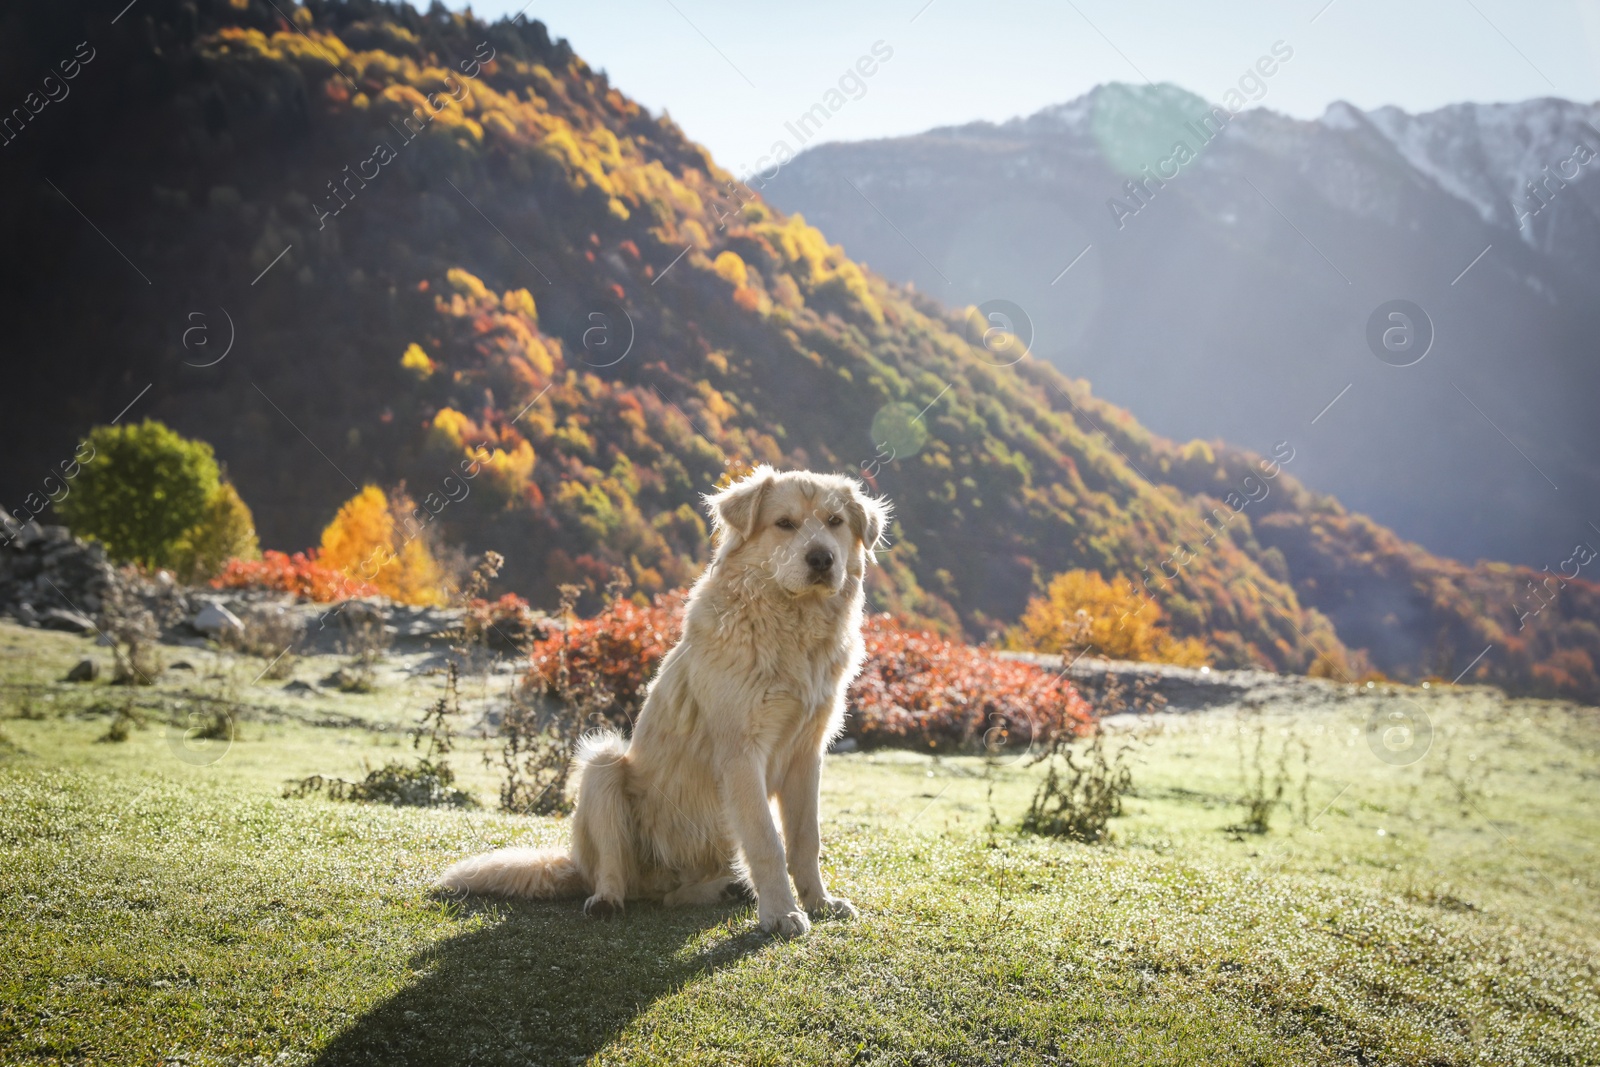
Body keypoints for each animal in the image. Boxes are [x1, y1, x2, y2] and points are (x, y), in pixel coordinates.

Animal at [438, 467, 889, 934]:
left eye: (835, 522)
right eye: (784, 523)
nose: (822, 560)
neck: (792, 628)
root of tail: (575, 867)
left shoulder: (807, 753)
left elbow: (805, 839)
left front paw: (819, 902)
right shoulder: (741, 753)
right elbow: (768, 841)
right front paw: (782, 913)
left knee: (673, 896)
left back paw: (725, 889)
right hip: (603, 763)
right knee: (615, 871)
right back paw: (607, 900)